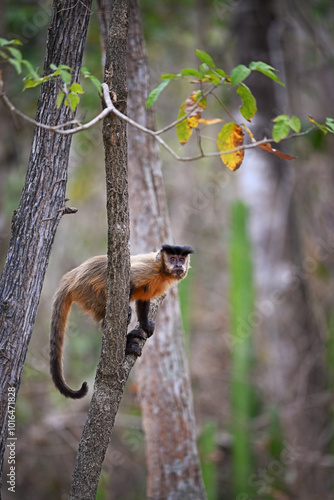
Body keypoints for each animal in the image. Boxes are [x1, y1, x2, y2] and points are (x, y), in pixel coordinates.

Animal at [50, 245, 194, 398]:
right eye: (172, 259)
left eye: (181, 259)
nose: (178, 265)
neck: (161, 269)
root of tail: (72, 276)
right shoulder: (149, 270)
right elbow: (129, 282)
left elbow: (144, 299)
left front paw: (145, 324)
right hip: (88, 291)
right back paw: (126, 343)